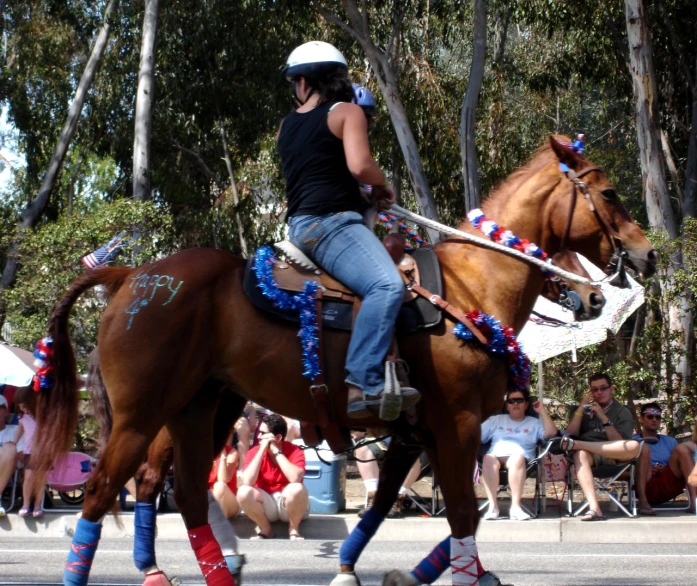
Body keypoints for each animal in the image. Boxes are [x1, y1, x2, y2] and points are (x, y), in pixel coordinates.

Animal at [32, 137, 652, 584]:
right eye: (610, 193)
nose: (643, 256)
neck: (469, 289)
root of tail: (130, 276)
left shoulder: (416, 435)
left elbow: (399, 510)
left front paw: (373, 571)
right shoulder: (455, 426)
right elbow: (459, 511)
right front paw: (464, 576)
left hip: (201, 409)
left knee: (181, 495)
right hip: (143, 415)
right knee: (106, 490)